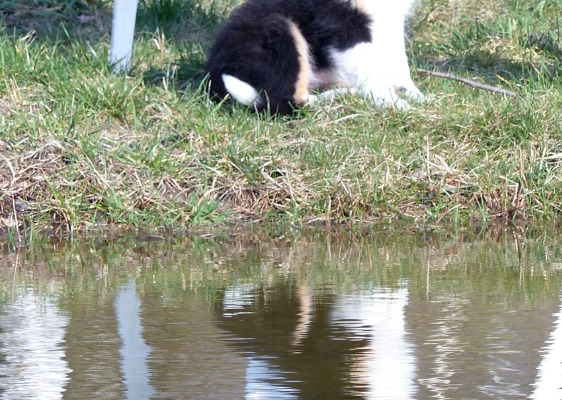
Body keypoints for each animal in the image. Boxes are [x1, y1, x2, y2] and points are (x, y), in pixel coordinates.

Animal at [205, 0, 420, 115]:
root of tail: (213, 75)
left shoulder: (392, 19)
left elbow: (399, 60)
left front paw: (415, 94)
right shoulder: (343, 21)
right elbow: (369, 69)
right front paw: (392, 103)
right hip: (279, 28)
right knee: (288, 101)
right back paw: (344, 96)